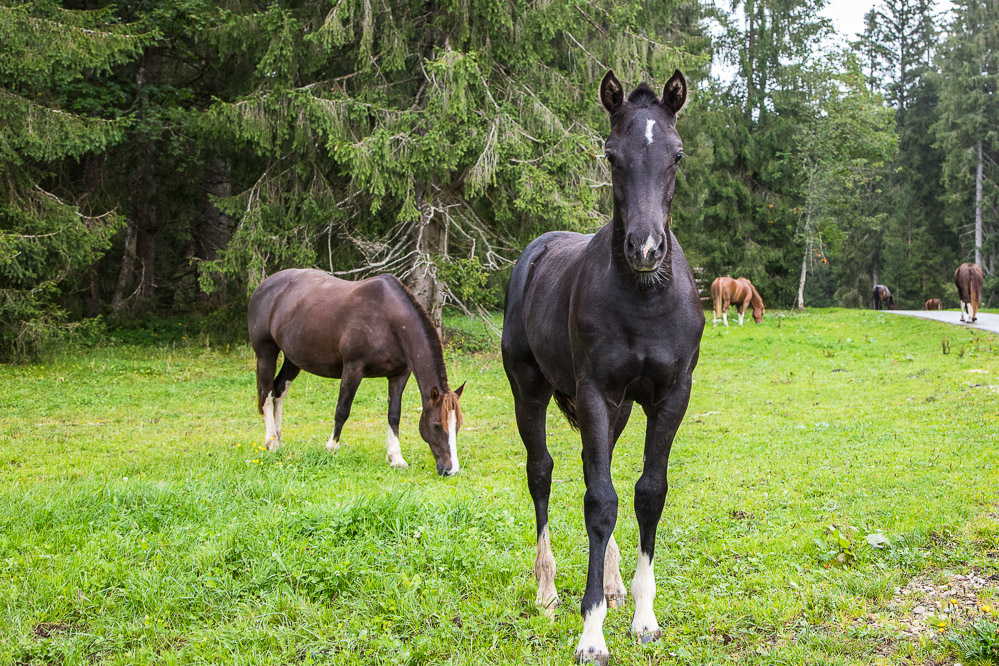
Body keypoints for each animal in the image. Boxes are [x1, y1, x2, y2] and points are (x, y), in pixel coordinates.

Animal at [250, 268, 468, 474]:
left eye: (457, 425)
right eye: (436, 425)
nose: (451, 470)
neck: (389, 319)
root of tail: (263, 287)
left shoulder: (399, 375)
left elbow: (394, 414)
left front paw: (396, 458)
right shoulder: (353, 369)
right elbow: (342, 410)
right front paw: (331, 448)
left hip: (293, 359)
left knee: (279, 391)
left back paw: (279, 441)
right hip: (266, 353)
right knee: (266, 394)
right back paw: (270, 442)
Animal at [500, 68, 704, 664]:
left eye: (677, 155)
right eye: (611, 156)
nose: (645, 248)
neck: (643, 298)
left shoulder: (670, 395)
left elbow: (646, 493)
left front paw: (642, 616)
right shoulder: (592, 391)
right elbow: (598, 499)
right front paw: (591, 632)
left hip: (618, 410)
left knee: (601, 466)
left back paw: (612, 585)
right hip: (529, 391)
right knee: (541, 473)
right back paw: (546, 590)